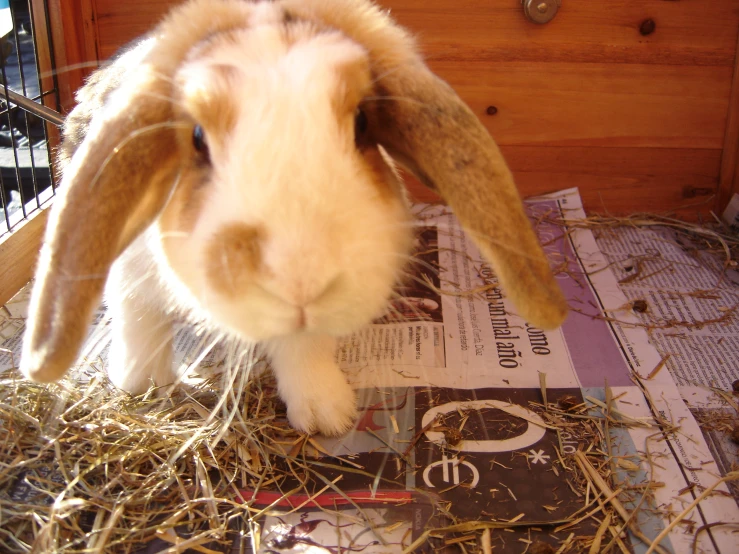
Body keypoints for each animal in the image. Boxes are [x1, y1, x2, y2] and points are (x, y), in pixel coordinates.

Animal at [20, 0, 568, 436]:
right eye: (196, 138)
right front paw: (141, 383)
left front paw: (328, 415)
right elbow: (138, 315)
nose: (301, 278)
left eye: (363, 123)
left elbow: (304, 349)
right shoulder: (127, 268)